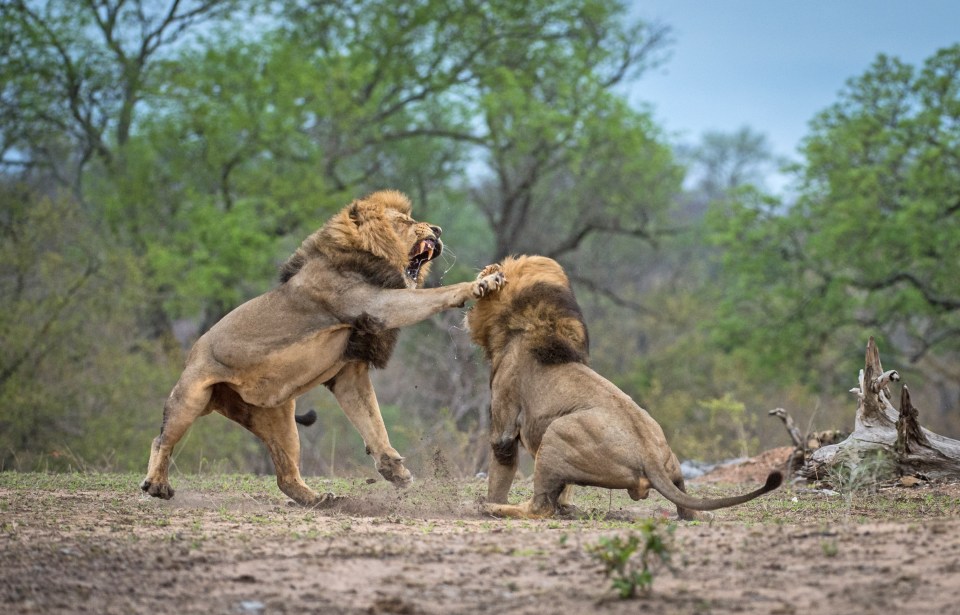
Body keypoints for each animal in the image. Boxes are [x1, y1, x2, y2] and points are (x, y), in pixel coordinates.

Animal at [141, 191, 510, 506]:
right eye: (405, 221)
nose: (437, 229)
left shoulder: (349, 373)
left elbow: (373, 421)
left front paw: (394, 470)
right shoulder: (379, 305)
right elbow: (437, 294)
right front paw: (482, 282)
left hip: (280, 421)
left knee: (285, 476)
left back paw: (319, 499)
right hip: (192, 394)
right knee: (161, 440)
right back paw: (157, 484)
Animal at [464, 255, 780, 520]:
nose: (487, 270)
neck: (529, 325)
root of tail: (651, 458)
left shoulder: (504, 422)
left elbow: (500, 469)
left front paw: (491, 500)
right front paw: (565, 504)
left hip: (557, 433)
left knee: (539, 507)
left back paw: (491, 508)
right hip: (672, 467)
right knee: (688, 510)